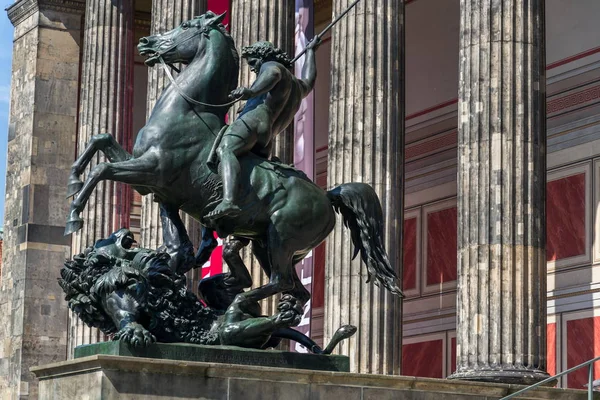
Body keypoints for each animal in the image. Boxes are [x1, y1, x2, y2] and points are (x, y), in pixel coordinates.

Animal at [65, 11, 400, 328]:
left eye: (185, 25)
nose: (146, 42)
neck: (188, 111)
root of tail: (328, 195)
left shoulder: (150, 170)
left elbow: (102, 170)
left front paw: (75, 215)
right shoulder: (156, 189)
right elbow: (100, 139)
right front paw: (72, 180)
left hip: (282, 238)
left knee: (282, 281)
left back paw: (238, 307)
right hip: (266, 244)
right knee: (293, 288)